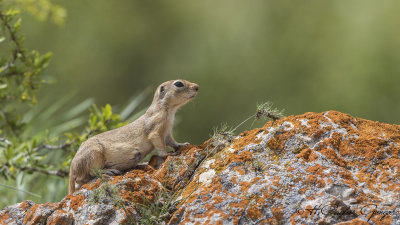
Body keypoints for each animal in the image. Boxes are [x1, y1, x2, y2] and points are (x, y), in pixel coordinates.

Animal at [70, 79, 200, 193]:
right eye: (178, 84)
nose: (197, 87)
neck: (169, 111)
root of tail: (72, 169)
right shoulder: (156, 129)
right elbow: (159, 144)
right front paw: (168, 154)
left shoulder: (167, 132)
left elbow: (172, 141)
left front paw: (183, 144)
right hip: (94, 155)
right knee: (91, 173)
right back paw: (109, 171)